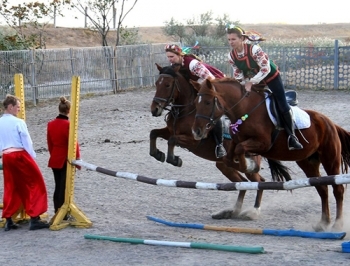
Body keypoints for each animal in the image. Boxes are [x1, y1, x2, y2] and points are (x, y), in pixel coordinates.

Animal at [150, 63, 290, 219]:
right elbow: (154, 133)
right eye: (157, 84)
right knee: (243, 183)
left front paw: (174, 159)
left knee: (259, 181)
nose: (154, 109)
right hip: (224, 165)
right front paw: (157, 154)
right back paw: (233, 211)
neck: (185, 111)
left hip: (247, 162)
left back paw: (254, 211)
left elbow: (172, 140)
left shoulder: (194, 140)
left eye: (167, 85)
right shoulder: (170, 130)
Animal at [190, 78, 350, 232]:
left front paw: (249, 166)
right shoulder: (235, 142)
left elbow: (240, 150)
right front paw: (246, 166)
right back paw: (323, 223)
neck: (245, 109)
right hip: (308, 162)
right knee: (322, 189)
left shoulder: (263, 144)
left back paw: (337, 224)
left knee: (337, 189)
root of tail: (329, 122)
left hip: (330, 158)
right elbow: (230, 158)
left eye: (208, 102)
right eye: (195, 103)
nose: (196, 131)